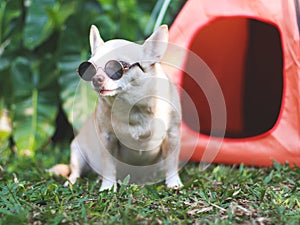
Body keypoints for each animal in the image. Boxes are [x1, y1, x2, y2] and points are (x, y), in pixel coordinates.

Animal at [50, 24, 183, 191]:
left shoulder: (172, 135)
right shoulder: (107, 139)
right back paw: (73, 182)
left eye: (118, 67)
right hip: (77, 151)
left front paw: (173, 182)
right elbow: (109, 166)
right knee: (75, 171)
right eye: (89, 68)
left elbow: (171, 163)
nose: (96, 78)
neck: (133, 107)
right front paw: (107, 187)